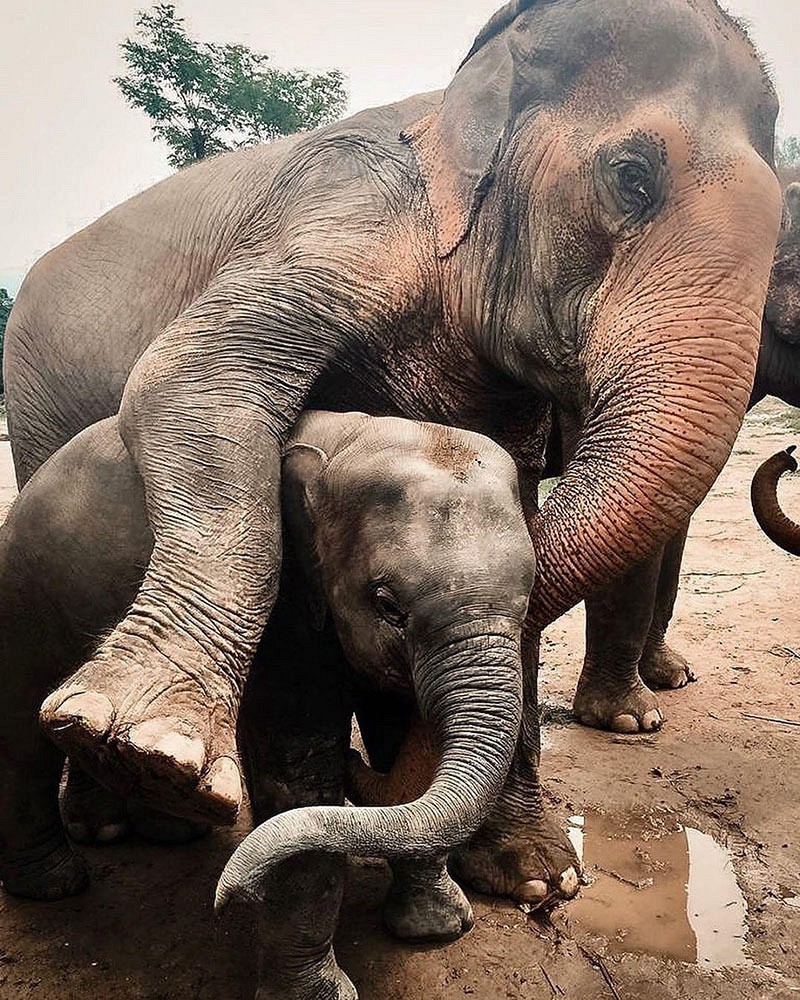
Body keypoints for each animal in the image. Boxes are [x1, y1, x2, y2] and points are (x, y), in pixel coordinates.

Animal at [3, 0, 784, 904]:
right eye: (632, 177)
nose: (367, 764)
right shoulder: (341, 214)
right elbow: (189, 374)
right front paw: (152, 747)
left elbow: (520, 516)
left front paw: (536, 880)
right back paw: (117, 818)